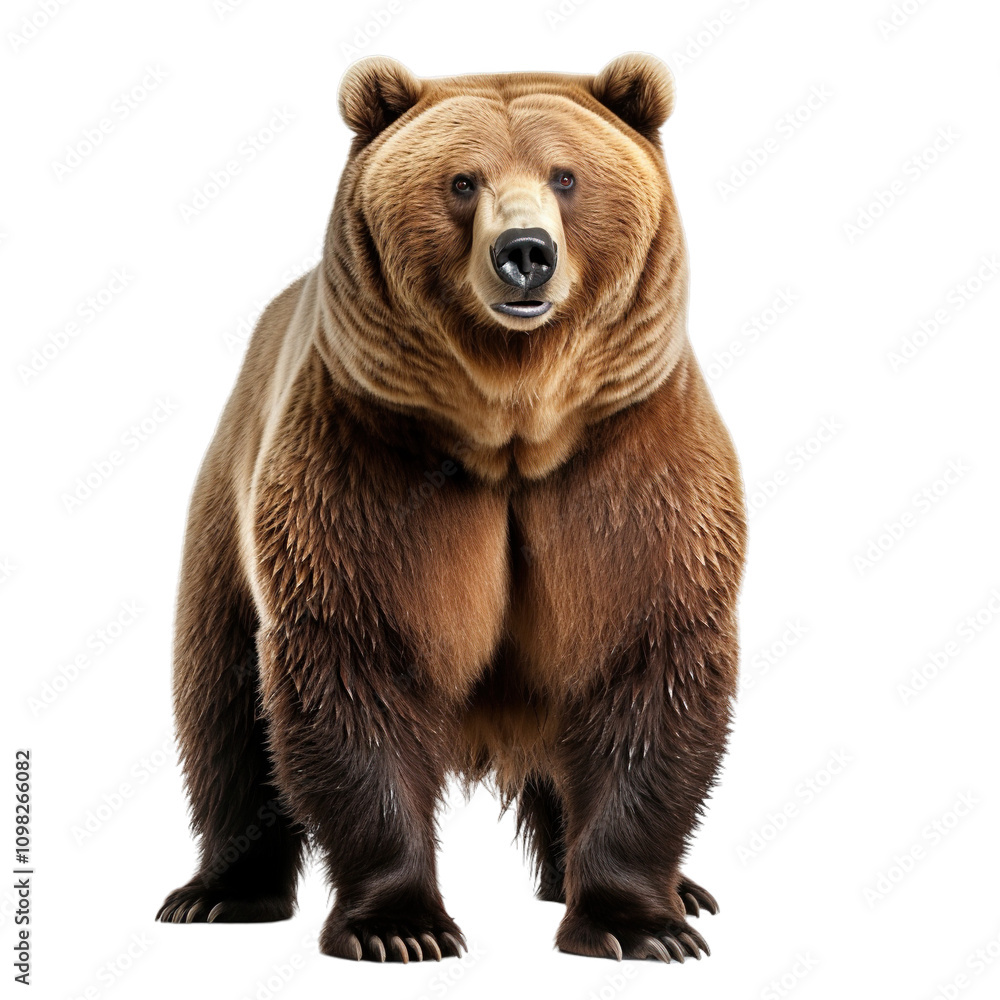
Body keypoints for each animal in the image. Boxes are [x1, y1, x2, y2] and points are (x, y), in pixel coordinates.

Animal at [156, 52, 746, 965]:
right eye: (463, 181)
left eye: (565, 176)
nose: (525, 253)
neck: (513, 432)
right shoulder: (370, 470)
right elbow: (357, 662)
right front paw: (401, 926)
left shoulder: (627, 469)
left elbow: (644, 658)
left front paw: (638, 924)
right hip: (228, 505)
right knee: (224, 705)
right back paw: (221, 890)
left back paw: (667, 886)